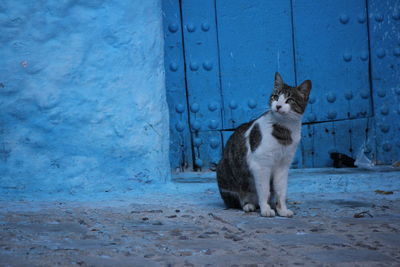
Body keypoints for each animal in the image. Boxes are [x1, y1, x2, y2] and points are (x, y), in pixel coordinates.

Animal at [216, 73, 312, 218]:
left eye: (289, 100)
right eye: (275, 97)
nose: (278, 106)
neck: (283, 132)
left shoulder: (283, 166)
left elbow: (281, 190)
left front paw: (282, 209)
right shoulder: (260, 165)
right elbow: (264, 189)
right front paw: (265, 209)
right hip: (225, 175)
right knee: (238, 200)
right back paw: (249, 205)